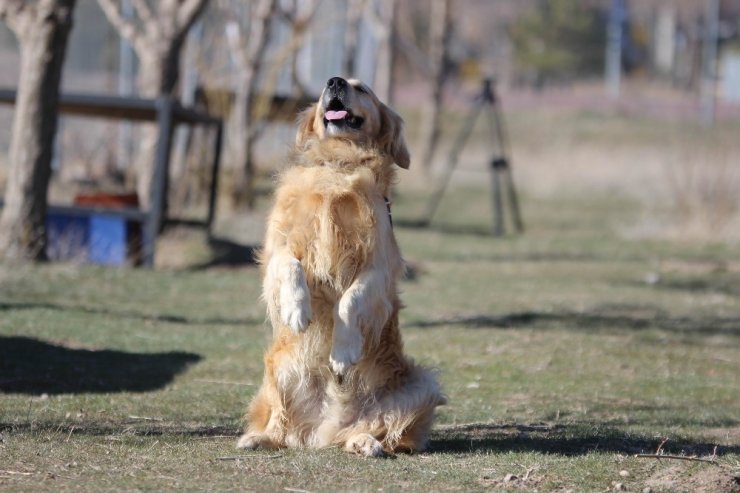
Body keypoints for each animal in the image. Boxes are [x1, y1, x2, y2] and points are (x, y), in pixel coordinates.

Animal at [237, 77, 446, 458]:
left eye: (362, 88)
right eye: (326, 87)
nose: (333, 81)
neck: (339, 161)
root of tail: (322, 432)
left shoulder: (379, 265)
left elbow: (351, 300)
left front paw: (343, 352)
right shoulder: (278, 249)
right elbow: (290, 266)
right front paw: (297, 309)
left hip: (421, 385)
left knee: (378, 429)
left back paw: (364, 442)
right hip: (280, 367)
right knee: (280, 423)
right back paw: (258, 438)